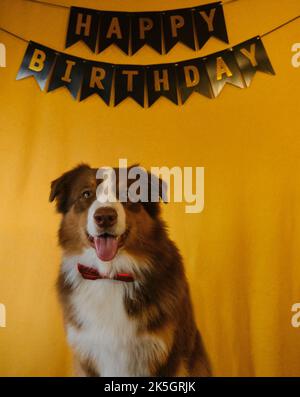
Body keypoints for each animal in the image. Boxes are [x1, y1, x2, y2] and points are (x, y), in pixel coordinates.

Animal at [49, 162, 211, 376]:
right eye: (86, 194)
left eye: (128, 194)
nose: (105, 217)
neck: (110, 275)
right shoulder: (86, 356)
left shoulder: (167, 355)